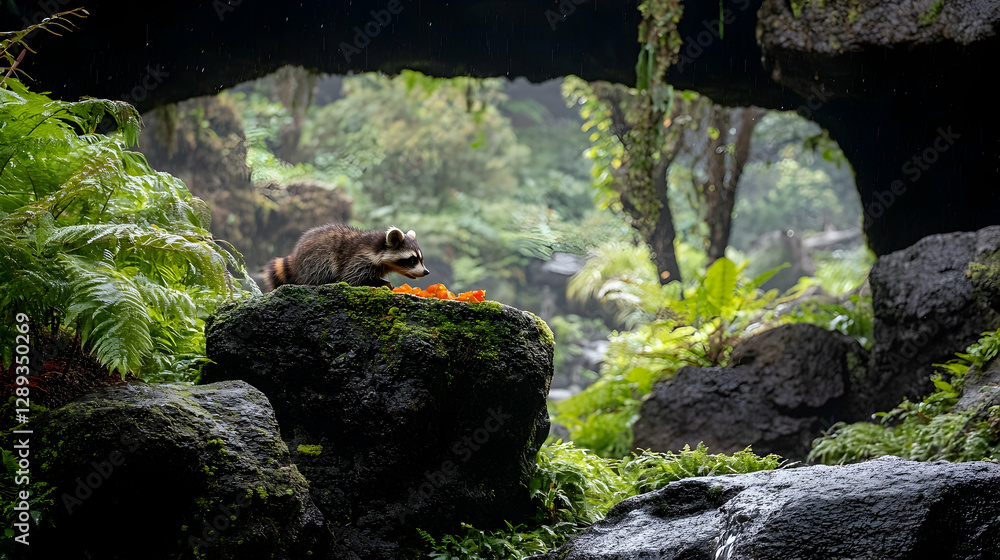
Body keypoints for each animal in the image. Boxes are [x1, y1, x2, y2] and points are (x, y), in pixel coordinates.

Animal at [265, 224, 430, 290]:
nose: (426, 272)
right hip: (316, 258)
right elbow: (352, 278)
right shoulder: (359, 258)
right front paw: (377, 283)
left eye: (421, 259)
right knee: (321, 271)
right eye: (412, 260)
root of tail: (296, 257)